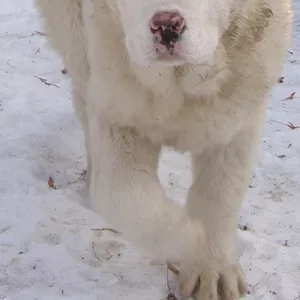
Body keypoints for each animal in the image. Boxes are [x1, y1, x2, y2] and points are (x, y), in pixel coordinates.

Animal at [34, 1, 290, 298]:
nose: (166, 25)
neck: (178, 82)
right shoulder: (117, 115)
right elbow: (124, 197)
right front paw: (191, 238)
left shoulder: (237, 120)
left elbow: (221, 195)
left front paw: (212, 268)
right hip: (74, 37)